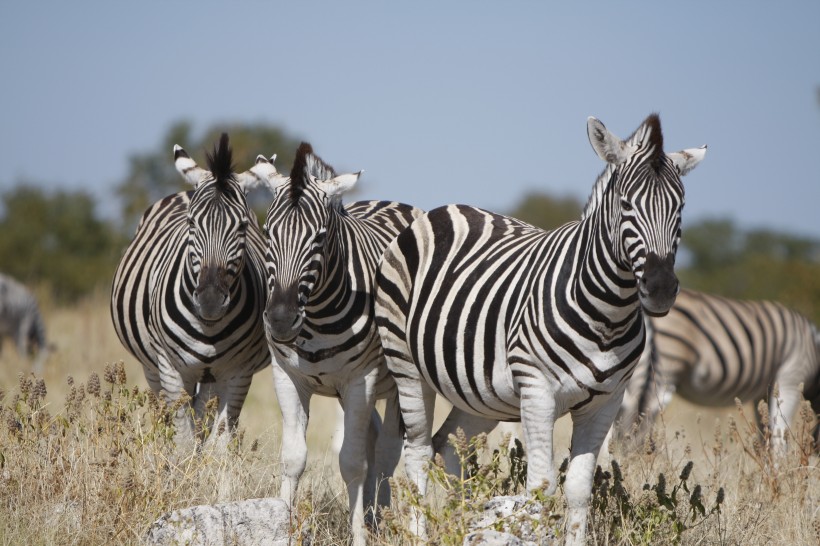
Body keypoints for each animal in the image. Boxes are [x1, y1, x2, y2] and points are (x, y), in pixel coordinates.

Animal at [110, 133, 270, 446]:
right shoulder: (171, 370)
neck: (209, 329)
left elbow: (219, 442)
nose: (210, 302)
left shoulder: (238, 374)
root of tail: (186, 189)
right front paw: (181, 459)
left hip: (211, 376)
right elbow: (183, 439)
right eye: (192, 223)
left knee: (203, 416)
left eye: (243, 226)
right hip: (153, 368)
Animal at [251, 142, 422, 544]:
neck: (314, 318)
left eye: (320, 236)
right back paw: (376, 517)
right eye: (267, 232)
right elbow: (294, 458)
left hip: (398, 383)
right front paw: (283, 527)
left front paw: (359, 535)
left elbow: (352, 463)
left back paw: (381, 521)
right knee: (377, 447)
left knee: (388, 453)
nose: (280, 320)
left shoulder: (361, 380)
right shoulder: (287, 378)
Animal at [376, 112, 704, 540]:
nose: (661, 289)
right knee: (416, 451)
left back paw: (461, 523)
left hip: (478, 392)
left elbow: (578, 489)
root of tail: (441, 210)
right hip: (407, 366)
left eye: (680, 207)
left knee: (447, 445)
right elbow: (540, 487)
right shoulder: (537, 392)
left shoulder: (606, 403)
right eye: (626, 204)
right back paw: (421, 534)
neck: (608, 316)